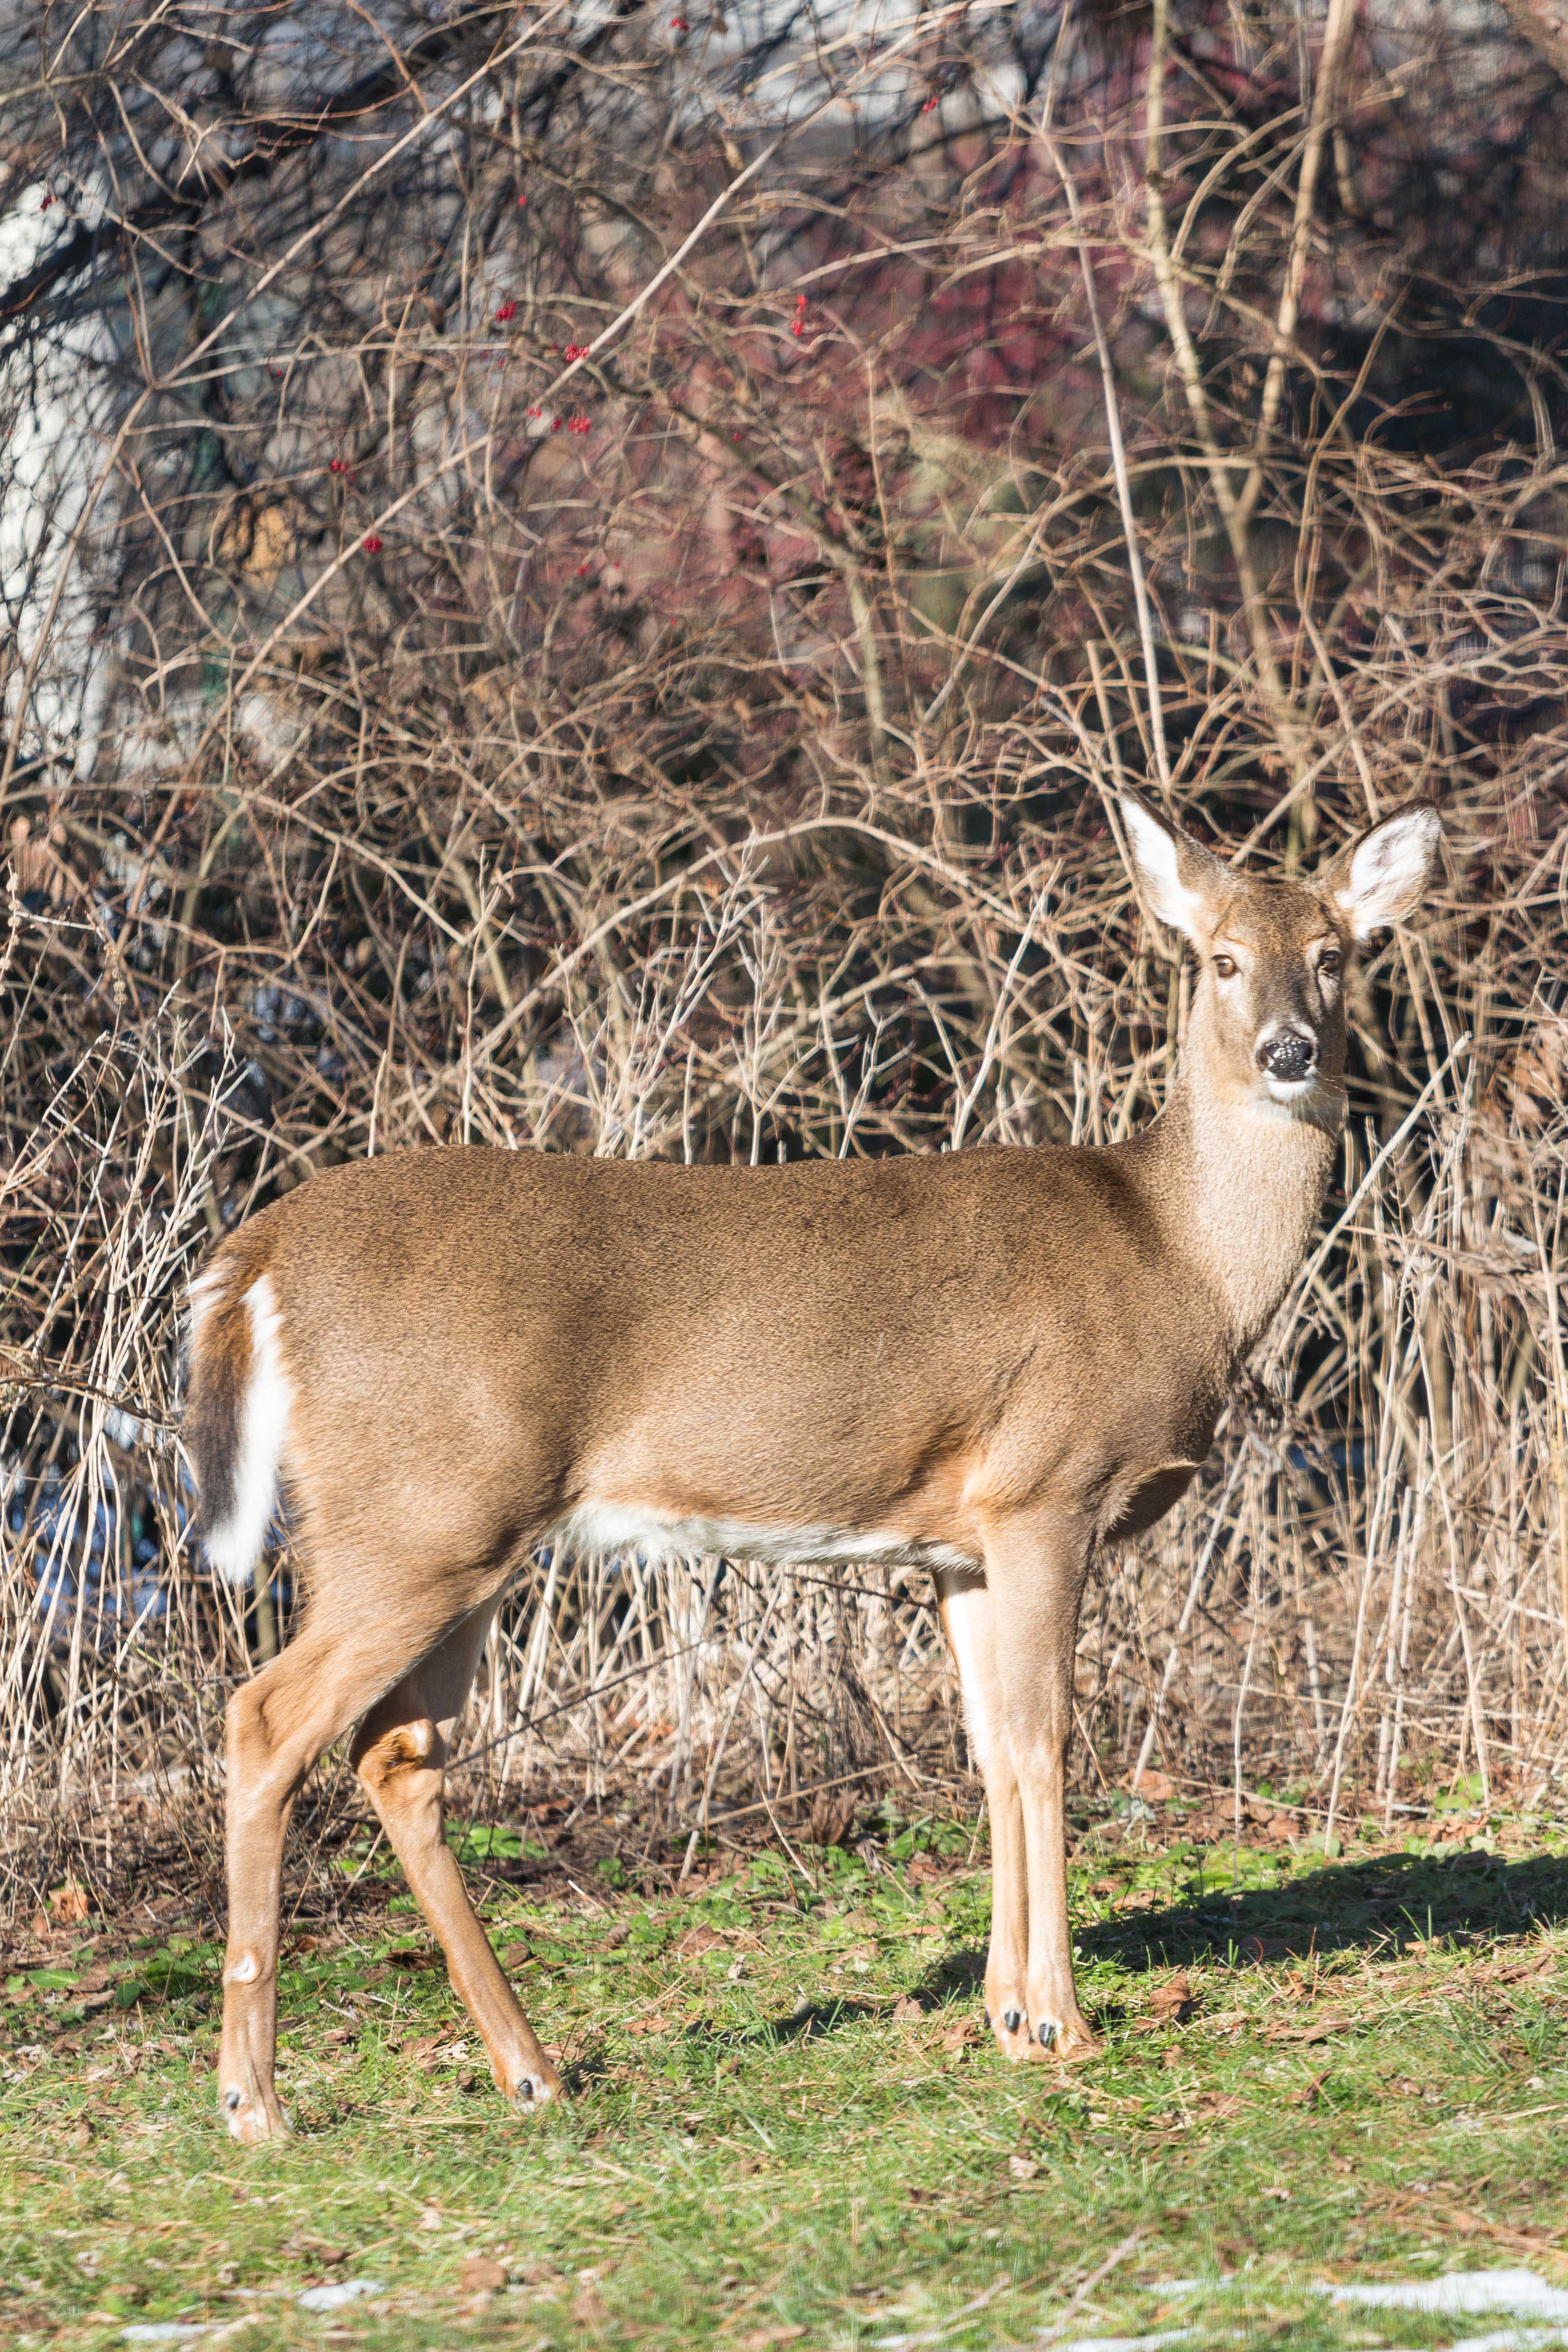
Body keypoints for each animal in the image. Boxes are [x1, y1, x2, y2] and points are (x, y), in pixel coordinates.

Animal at [184, 790, 1448, 2136]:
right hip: (420, 1512)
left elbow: (990, 1747)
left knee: (397, 1754)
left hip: (451, 1529)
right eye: (1216, 958)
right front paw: (1063, 2024)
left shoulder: (961, 1541)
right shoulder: (1044, 1486)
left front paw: (1005, 2013)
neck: (1180, 1258)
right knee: (267, 1718)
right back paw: (255, 2102)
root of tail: (257, 1255)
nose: (1288, 1051)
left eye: (1337, 951)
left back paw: (529, 2068)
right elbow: (1047, 1741)